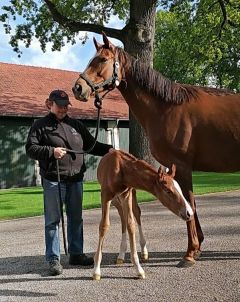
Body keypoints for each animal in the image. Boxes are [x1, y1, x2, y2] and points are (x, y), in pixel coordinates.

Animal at [94, 150, 193, 280]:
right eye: (168, 191)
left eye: (180, 189)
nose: (189, 213)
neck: (120, 169)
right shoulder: (105, 196)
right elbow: (104, 226)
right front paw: (96, 270)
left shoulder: (127, 194)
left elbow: (131, 224)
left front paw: (138, 268)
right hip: (115, 199)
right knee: (122, 215)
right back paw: (121, 255)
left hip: (129, 194)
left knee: (135, 212)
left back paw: (143, 251)